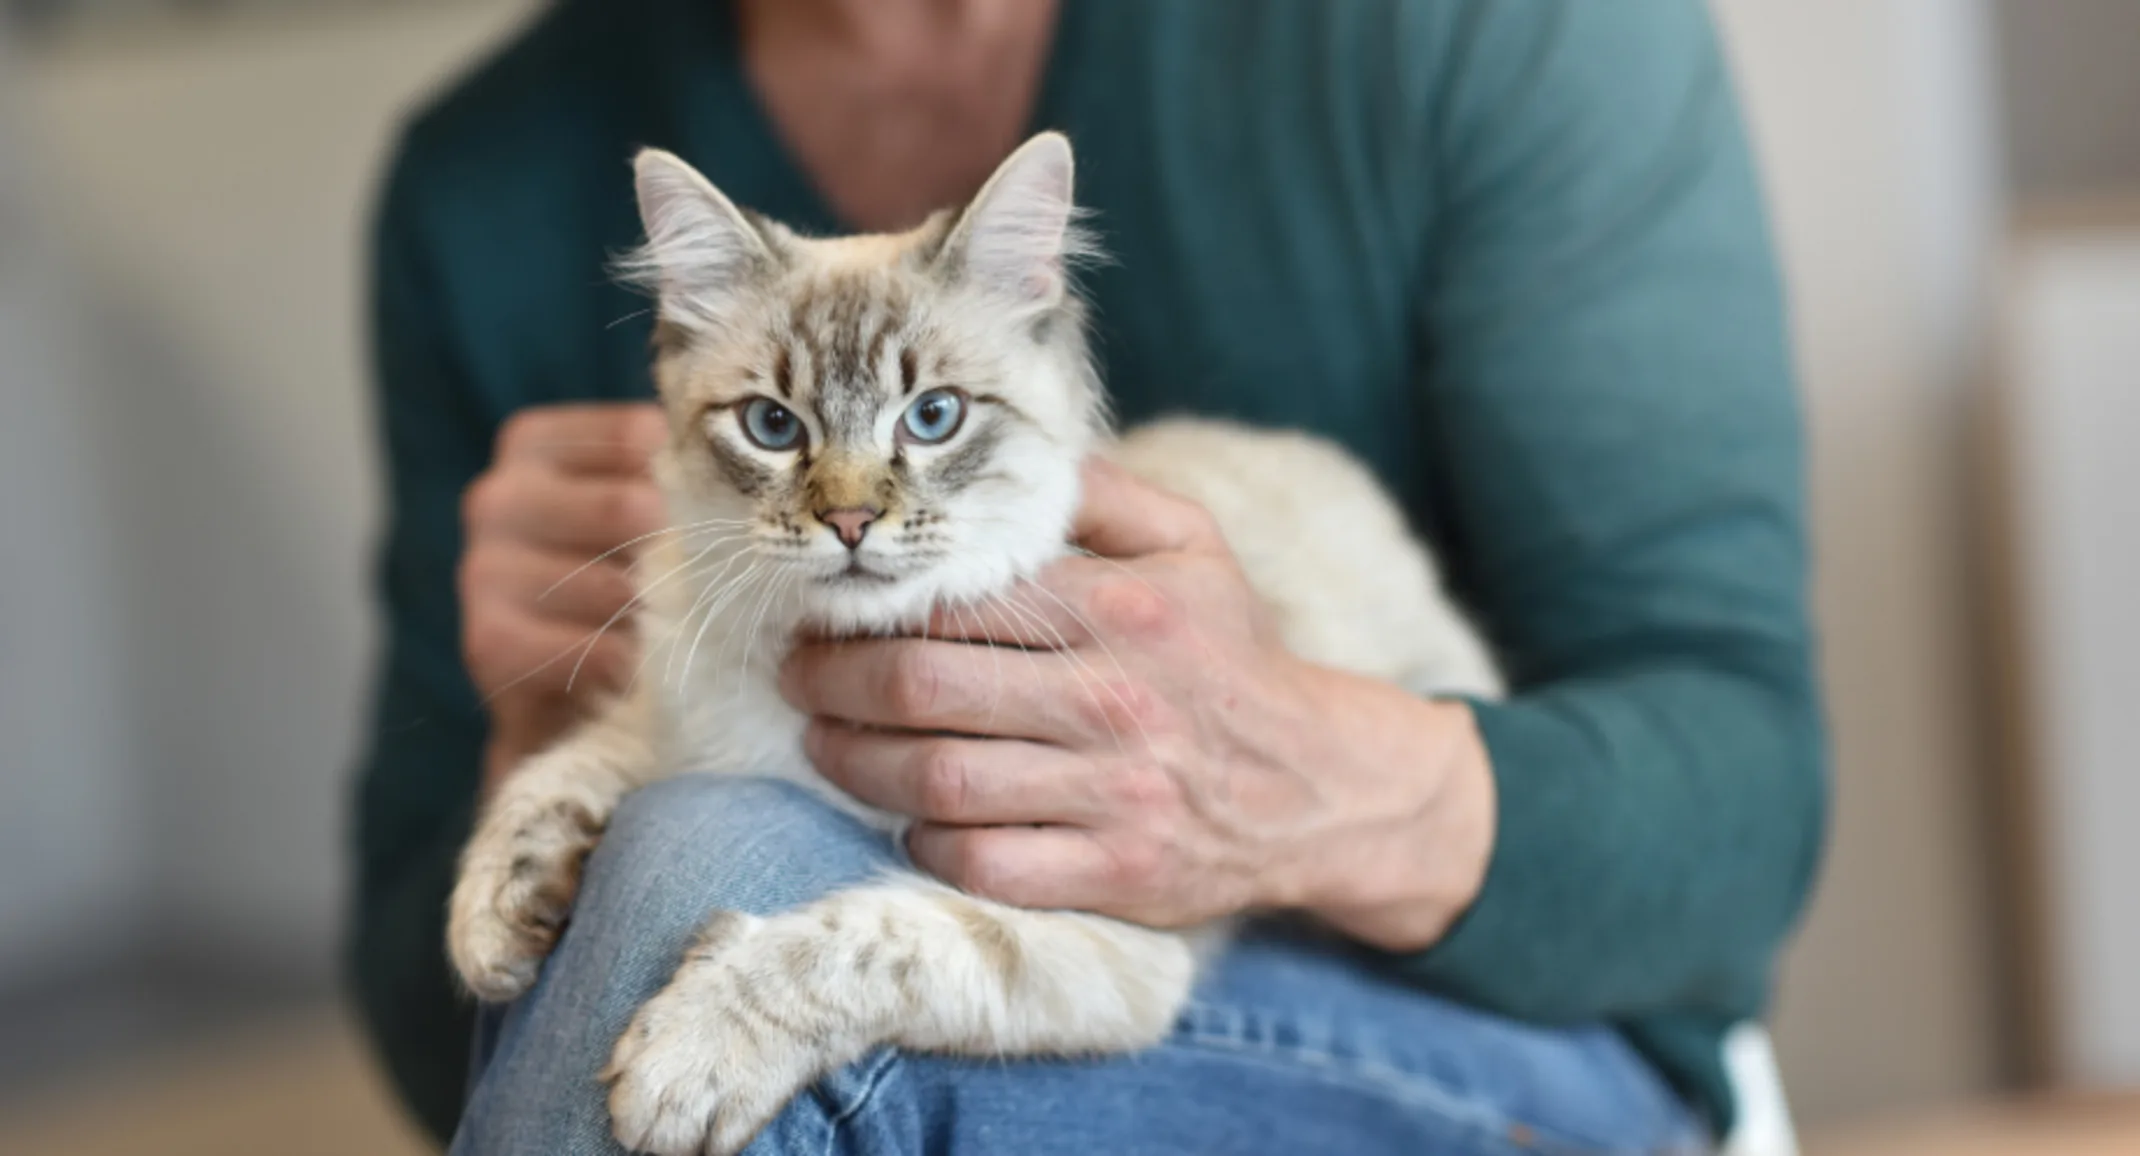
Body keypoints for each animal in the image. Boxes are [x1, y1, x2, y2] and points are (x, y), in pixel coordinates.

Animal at [442, 133, 1498, 1156]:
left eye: (933, 418)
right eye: (773, 426)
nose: (850, 522)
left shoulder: (1096, 930)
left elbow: (861, 941)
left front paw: (688, 1057)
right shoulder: (680, 718)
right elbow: (556, 774)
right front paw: (496, 921)